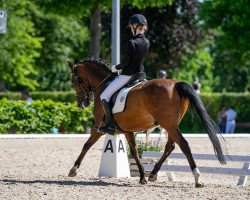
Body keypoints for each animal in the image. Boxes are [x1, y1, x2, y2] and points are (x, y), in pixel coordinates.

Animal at [67, 57, 227, 188]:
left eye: (74, 81)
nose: (82, 103)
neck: (104, 84)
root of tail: (175, 84)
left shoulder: (98, 127)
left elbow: (87, 145)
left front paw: (73, 169)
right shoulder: (127, 130)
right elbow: (134, 151)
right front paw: (142, 176)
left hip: (169, 124)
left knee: (184, 145)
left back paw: (197, 178)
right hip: (171, 125)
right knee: (170, 146)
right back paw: (153, 174)